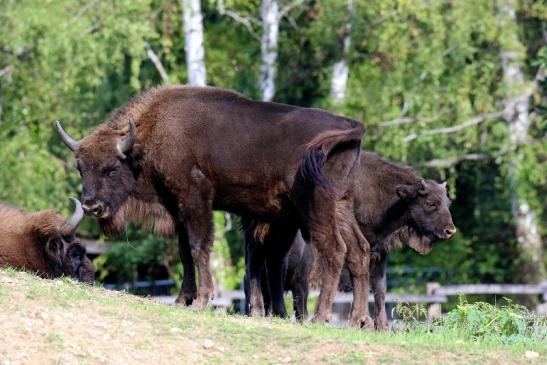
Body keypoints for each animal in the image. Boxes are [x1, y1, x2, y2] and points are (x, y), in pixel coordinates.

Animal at [55, 86, 368, 324]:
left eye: (111, 169)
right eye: (81, 168)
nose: (91, 206)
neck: (152, 133)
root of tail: (349, 127)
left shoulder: (196, 199)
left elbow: (199, 246)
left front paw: (202, 300)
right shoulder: (177, 207)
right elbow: (185, 252)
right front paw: (182, 299)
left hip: (316, 207)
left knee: (335, 251)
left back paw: (320, 317)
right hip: (340, 207)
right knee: (360, 251)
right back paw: (356, 320)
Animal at [246, 150, 456, 328]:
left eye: (447, 203)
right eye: (431, 203)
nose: (450, 230)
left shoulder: (379, 252)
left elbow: (379, 288)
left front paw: (381, 327)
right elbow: (361, 279)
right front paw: (364, 322)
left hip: (283, 230)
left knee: (274, 262)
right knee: (256, 262)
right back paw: (259, 311)